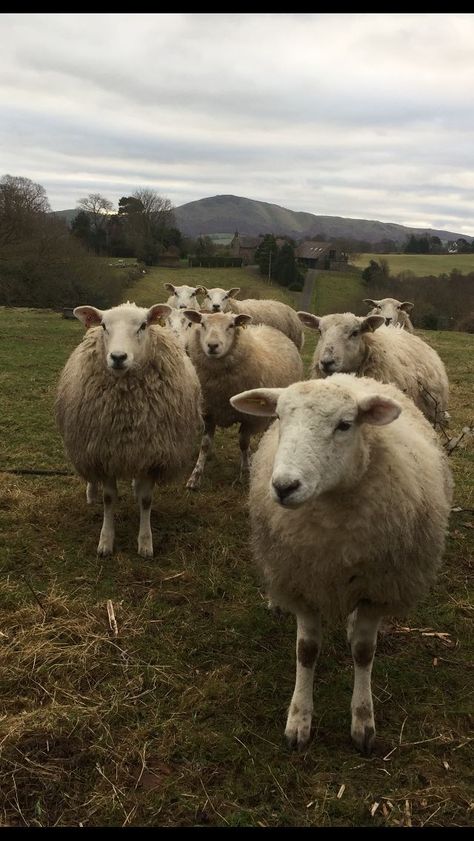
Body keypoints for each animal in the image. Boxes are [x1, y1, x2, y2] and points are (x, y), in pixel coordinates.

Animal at [55, 302, 202, 556]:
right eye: (104, 326)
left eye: (143, 326)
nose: (118, 357)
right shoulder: (103, 453)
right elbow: (108, 498)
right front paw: (106, 540)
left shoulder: (151, 455)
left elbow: (146, 500)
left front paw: (145, 542)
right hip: (87, 446)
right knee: (91, 478)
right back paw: (91, 492)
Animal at [181, 310, 304, 488]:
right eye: (202, 324)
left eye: (231, 325)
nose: (212, 346)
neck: (221, 387)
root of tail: (269, 328)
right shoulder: (209, 412)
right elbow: (204, 445)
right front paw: (195, 476)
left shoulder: (249, 418)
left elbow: (243, 443)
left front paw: (245, 471)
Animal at [231, 374, 454, 756]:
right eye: (279, 417)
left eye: (345, 425)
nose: (284, 486)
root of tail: (349, 377)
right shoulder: (302, 581)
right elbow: (306, 651)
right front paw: (299, 721)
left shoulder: (377, 588)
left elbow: (364, 652)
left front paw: (363, 721)